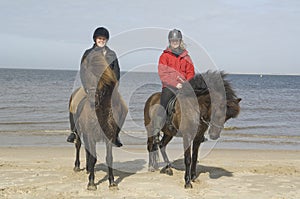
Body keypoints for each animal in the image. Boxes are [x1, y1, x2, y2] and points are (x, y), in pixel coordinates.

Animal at [68, 50, 127, 190]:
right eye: (84, 71)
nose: (92, 97)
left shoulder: (109, 137)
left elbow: (109, 158)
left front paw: (112, 182)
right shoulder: (90, 135)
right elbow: (93, 158)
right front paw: (91, 183)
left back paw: (88, 169)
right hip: (78, 131)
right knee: (78, 145)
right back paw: (78, 166)